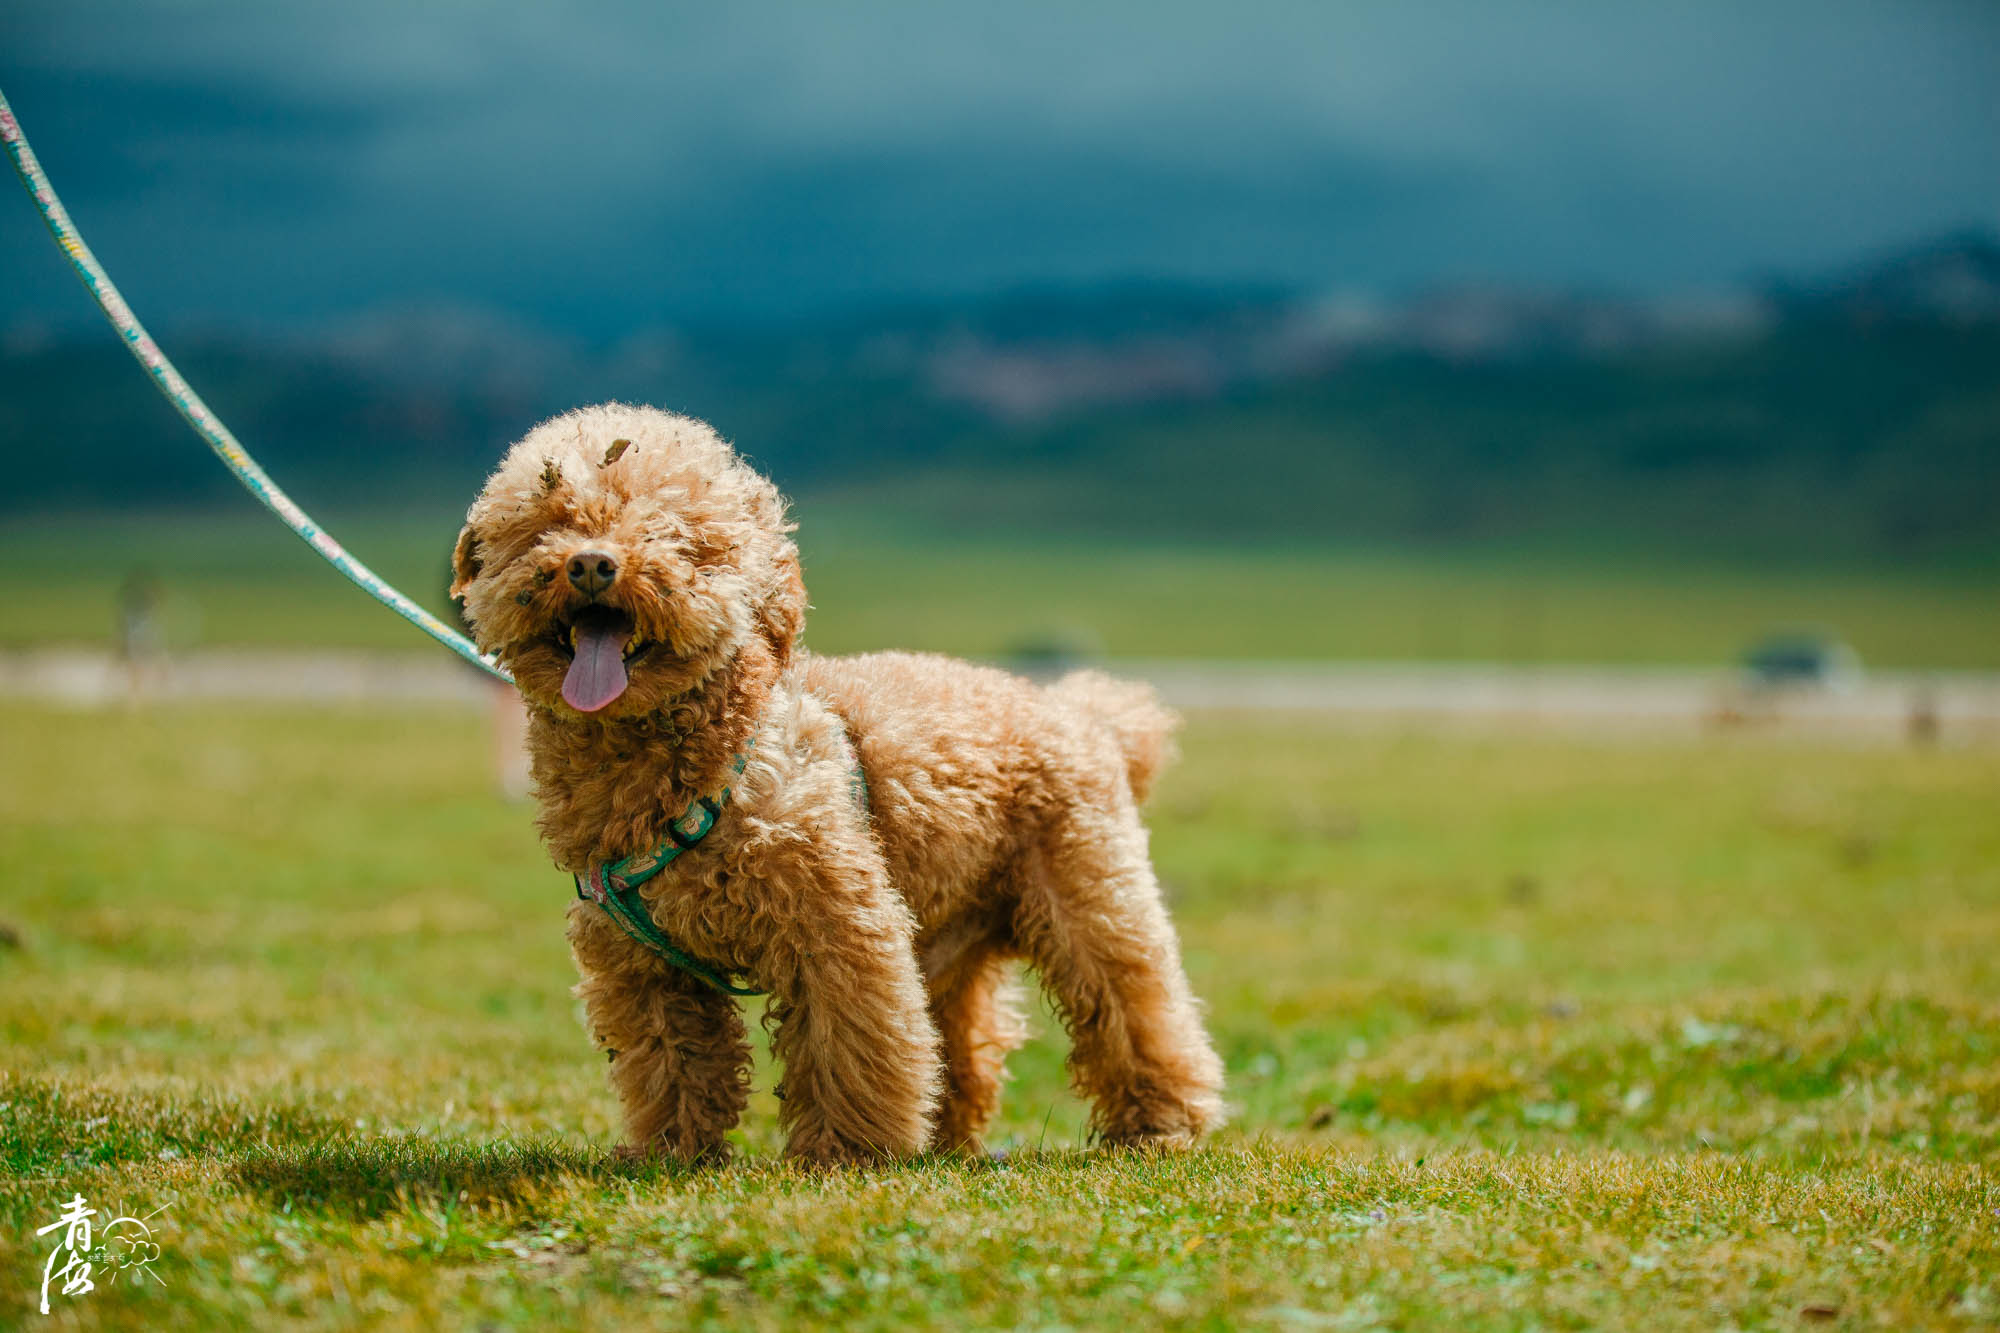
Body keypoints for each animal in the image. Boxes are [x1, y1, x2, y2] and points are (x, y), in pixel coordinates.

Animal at [454, 400, 1224, 1160]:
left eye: (672, 534)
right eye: (546, 525)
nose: (590, 563)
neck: (698, 767)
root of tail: (1084, 713)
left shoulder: (837, 926)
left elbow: (850, 1041)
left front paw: (846, 1152)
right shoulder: (640, 962)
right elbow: (668, 1060)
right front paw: (672, 1150)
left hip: (1088, 889)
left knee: (1135, 1002)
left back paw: (1158, 1124)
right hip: (948, 928)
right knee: (966, 1044)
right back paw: (948, 1140)